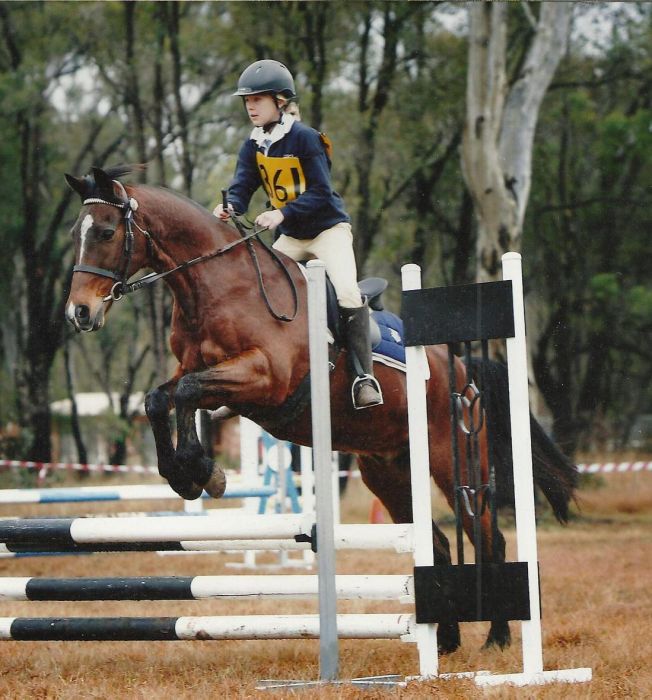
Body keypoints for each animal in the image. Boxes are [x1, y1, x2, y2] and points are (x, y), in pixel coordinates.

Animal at [64, 165, 578, 654]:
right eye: (76, 233)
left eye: (106, 232)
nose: (79, 314)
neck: (217, 287)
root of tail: (460, 367)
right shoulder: (207, 376)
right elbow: (161, 398)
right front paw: (185, 473)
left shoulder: (263, 379)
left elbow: (188, 393)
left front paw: (201, 471)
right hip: (388, 472)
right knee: (436, 541)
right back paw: (445, 640)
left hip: (452, 462)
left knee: (486, 536)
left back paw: (497, 638)